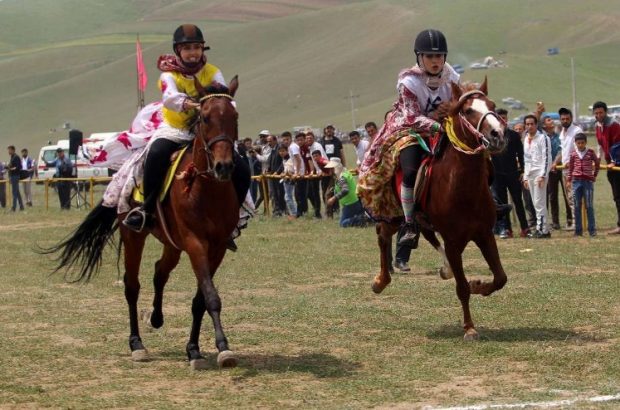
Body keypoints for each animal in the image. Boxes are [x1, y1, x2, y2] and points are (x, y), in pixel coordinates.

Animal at [45, 76, 242, 368]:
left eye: (234, 116)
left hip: (173, 244)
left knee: (160, 271)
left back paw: (157, 318)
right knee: (132, 286)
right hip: (134, 236)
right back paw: (137, 344)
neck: (206, 189)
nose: (224, 166)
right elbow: (210, 296)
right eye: (205, 117)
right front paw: (222, 347)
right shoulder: (196, 243)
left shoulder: (216, 247)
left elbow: (200, 300)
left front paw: (196, 349)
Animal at [372, 78, 508, 342]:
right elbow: (462, 288)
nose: (497, 135)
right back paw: (381, 280)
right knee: (382, 235)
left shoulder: (484, 234)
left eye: (492, 106)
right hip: (393, 216)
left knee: (426, 236)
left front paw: (479, 286)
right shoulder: (454, 241)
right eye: (468, 110)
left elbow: (500, 278)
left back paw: (443, 269)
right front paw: (469, 328)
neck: (462, 188)